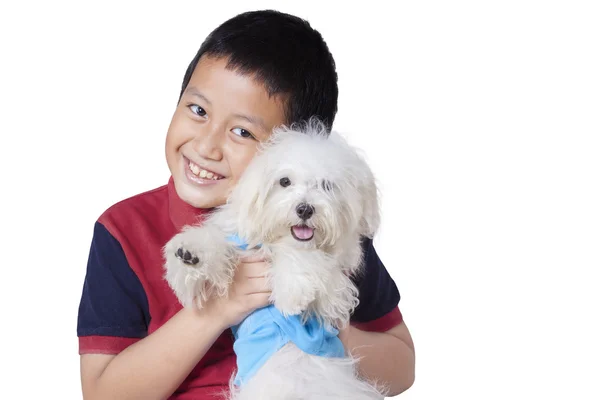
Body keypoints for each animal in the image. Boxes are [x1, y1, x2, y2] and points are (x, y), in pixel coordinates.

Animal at [164, 119, 386, 400]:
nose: (305, 209)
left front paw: (292, 293)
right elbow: (216, 251)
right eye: (285, 181)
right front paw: (190, 253)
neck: (277, 241)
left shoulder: (333, 296)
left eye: (327, 185)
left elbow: (303, 259)